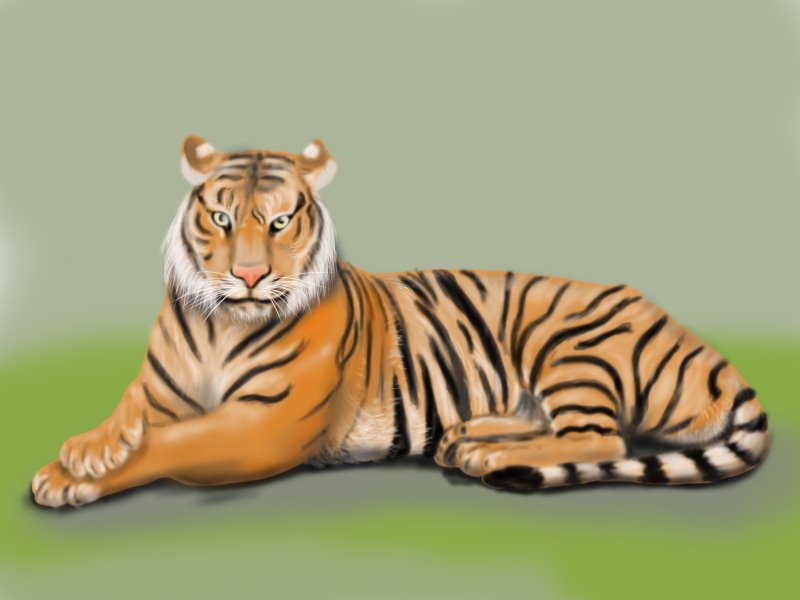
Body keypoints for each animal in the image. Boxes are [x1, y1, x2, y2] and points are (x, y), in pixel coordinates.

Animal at [31, 136, 770, 507]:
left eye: (280, 221)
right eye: (219, 217)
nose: (248, 276)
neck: (223, 323)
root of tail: (701, 346)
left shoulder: (263, 424)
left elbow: (174, 443)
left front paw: (72, 474)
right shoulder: (159, 390)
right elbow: (133, 414)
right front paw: (81, 455)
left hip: (567, 341)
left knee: (598, 438)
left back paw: (490, 454)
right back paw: (471, 437)